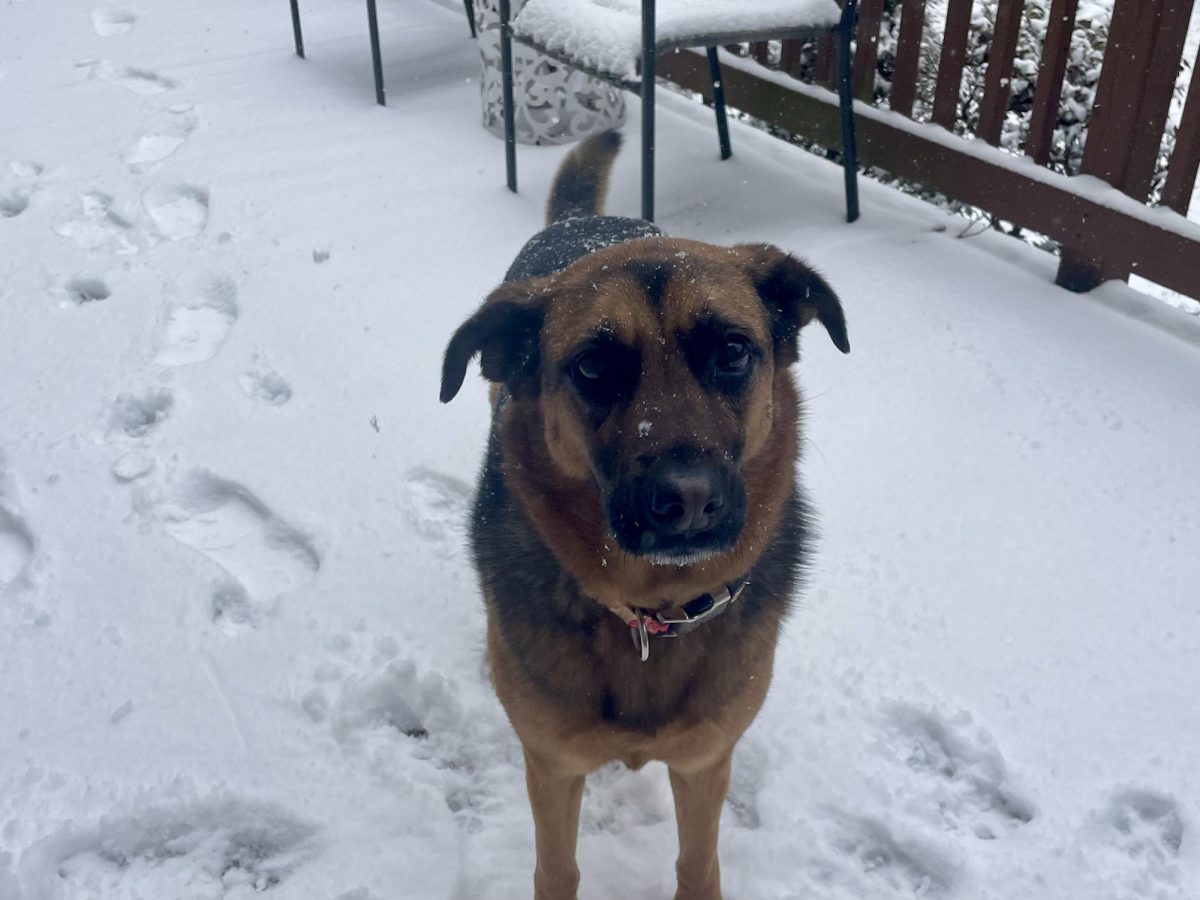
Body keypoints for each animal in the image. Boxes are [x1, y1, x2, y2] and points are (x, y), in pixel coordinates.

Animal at [444, 130, 854, 897]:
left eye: (733, 351)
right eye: (593, 366)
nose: (688, 499)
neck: (649, 610)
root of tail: (586, 222)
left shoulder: (704, 763)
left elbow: (698, 865)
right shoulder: (552, 767)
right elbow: (557, 869)